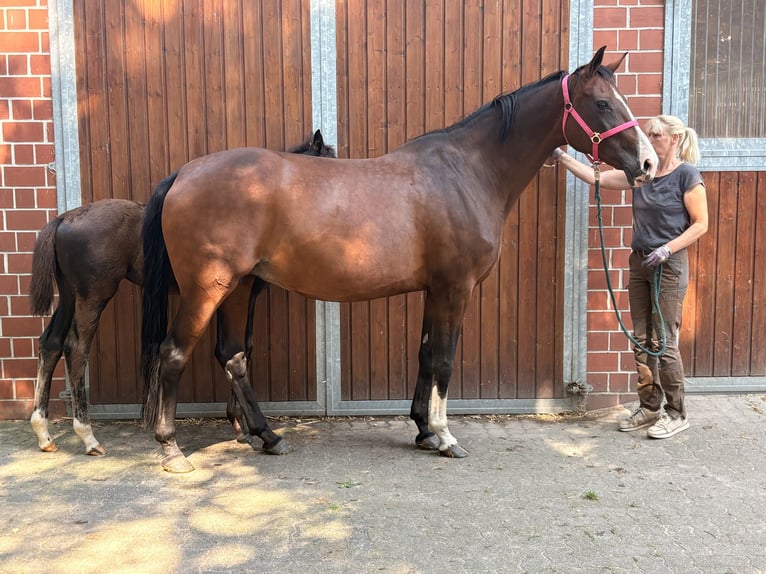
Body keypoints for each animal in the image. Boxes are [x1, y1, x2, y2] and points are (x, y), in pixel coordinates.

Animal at [28, 130, 335, 456]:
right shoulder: (241, 293)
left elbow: (233, 349)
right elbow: (239, 350)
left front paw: (240, 427)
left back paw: (44, 433)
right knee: (76, 349)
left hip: (70, 297)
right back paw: (88, 436)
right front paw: (252, 430)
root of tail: (64, 219)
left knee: (51, 343)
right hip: (93, 296)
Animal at [141, 47, 658, 473]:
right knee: (174, 352)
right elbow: (445, 359)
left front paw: (424, 430)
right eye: (603, 103)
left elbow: (426, 354)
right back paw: (171, 448)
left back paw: (267, 436)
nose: (649, 164)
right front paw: (446, 436)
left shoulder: (436, 289)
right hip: (208, 288)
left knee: (232, 355)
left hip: (240, 287)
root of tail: (183, 174)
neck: (467, 171)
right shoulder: (455, 287)